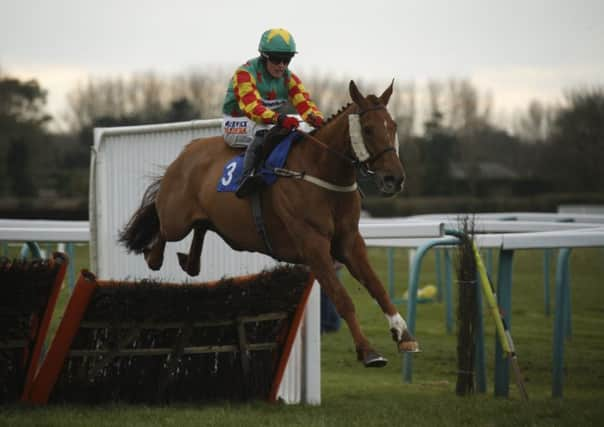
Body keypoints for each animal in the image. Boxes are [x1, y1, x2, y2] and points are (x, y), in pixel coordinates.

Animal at [120, 81, 418, 368]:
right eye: (368, 129)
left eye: (393, 126)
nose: (394, 179)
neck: (320, 173)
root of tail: (185, 153)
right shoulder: (313, 245)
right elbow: (342, 298)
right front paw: (369, 352)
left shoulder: (349, 242)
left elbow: (378, 287)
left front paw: (404, 335)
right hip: (176, 219)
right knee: (161, 228)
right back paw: (153, 256)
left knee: (200, 231)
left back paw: (188, 261)